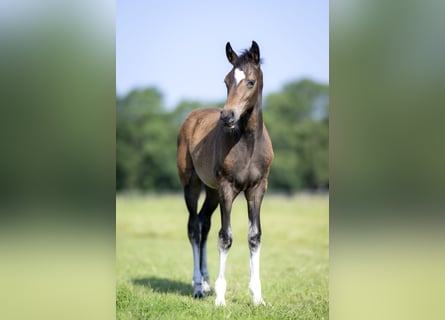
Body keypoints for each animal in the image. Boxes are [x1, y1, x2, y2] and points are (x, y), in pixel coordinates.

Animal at [175, 41, 272, 306]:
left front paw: (257, 297)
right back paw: (199, 287)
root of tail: (192, 118)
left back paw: (206, 283)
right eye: (227, 81)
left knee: (204, 223)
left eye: (250, 81)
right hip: (192, 185)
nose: (227, 116)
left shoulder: (257, 188)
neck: (248, 144)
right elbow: (225, 237)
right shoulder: (227, 187)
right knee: (193, 227)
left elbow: (254, 236)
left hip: (212, 191)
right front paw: (220, 297)